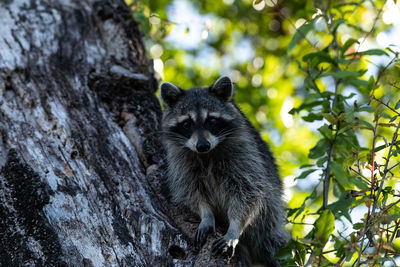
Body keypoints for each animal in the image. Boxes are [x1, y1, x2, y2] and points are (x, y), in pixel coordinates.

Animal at [159, 76, 288, 266]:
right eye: (187, 123)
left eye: (211, 121)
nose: (202, 146)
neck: (207, 155)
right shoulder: (181, 162)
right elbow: (191, 192)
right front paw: (206, 215)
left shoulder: (245, 155)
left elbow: (248, 193)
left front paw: (234, 228)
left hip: (270, 223)